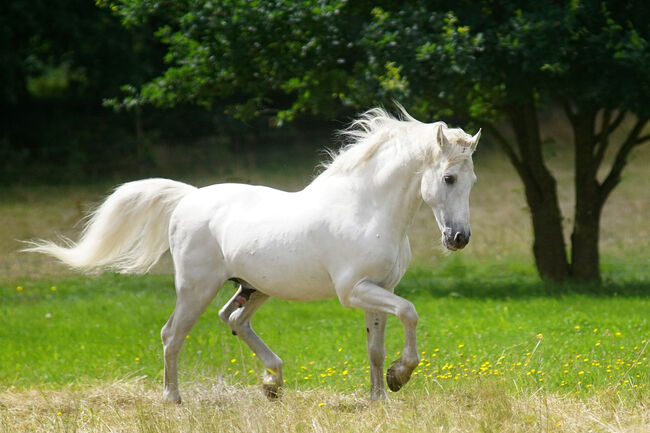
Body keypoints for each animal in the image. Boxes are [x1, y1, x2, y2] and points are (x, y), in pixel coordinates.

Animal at [25, 108, 478, 402]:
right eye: (448, 178)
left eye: (471, 180)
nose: (459, 238)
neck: (366, 208)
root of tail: (188, 198)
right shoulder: (355, 290)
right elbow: (410, 313)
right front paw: (400, 376)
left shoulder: (380, 289)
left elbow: (376, 347)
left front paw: (380, 396)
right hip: (197, 288)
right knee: (173, 334)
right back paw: (173, 398)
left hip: (255, 287)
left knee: (234, 319)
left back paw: (272, 382)